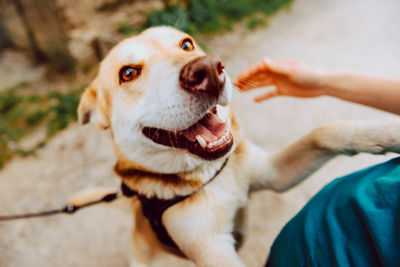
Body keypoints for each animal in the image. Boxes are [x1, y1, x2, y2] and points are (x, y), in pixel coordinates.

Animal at [76, 25, 400, 267]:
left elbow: (324, 131)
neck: (209, 176)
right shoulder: (211, 247)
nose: (208, 69)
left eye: (186, 44)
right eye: (128, 73)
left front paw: (385, 132)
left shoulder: (273, 174)